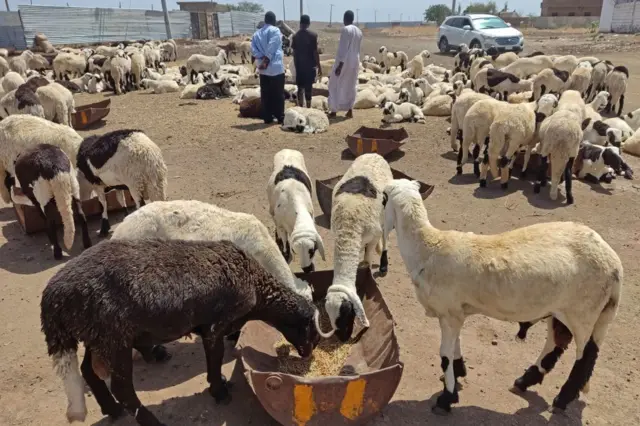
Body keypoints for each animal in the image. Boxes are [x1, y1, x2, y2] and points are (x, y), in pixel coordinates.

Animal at [41, 239, 321, 425]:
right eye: (313, 332)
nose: (309, 355)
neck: (256, 285)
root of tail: (54, 297)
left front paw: (219, 385)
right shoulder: (216, 324)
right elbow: (215, 357)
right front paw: (219, 391)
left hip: (97, 336)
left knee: (89, 371)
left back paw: (111, 409)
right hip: (114, 338)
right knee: (122, 389)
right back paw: (151, 422)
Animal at [316, 153, 393, 342]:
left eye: (347, 313)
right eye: (329, 316)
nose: (343, 339)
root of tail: (374, 154)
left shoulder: (372, 237)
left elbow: (368, 258)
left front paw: (368, 269)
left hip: (386, 210)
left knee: (386, 235)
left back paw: (383, 264)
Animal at [381, 178, 622, 415]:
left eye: (383, 199)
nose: (381, 226)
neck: (427, 247)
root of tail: (614, 264)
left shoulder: (449, 313)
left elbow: (445, 355)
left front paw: (446, 398)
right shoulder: (456, 313)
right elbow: (455, 346)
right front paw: (459, 373)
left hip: (584, 314)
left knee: (585, 358)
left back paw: (561, 399)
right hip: (562, 312)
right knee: (556, 343)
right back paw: (526, 380)